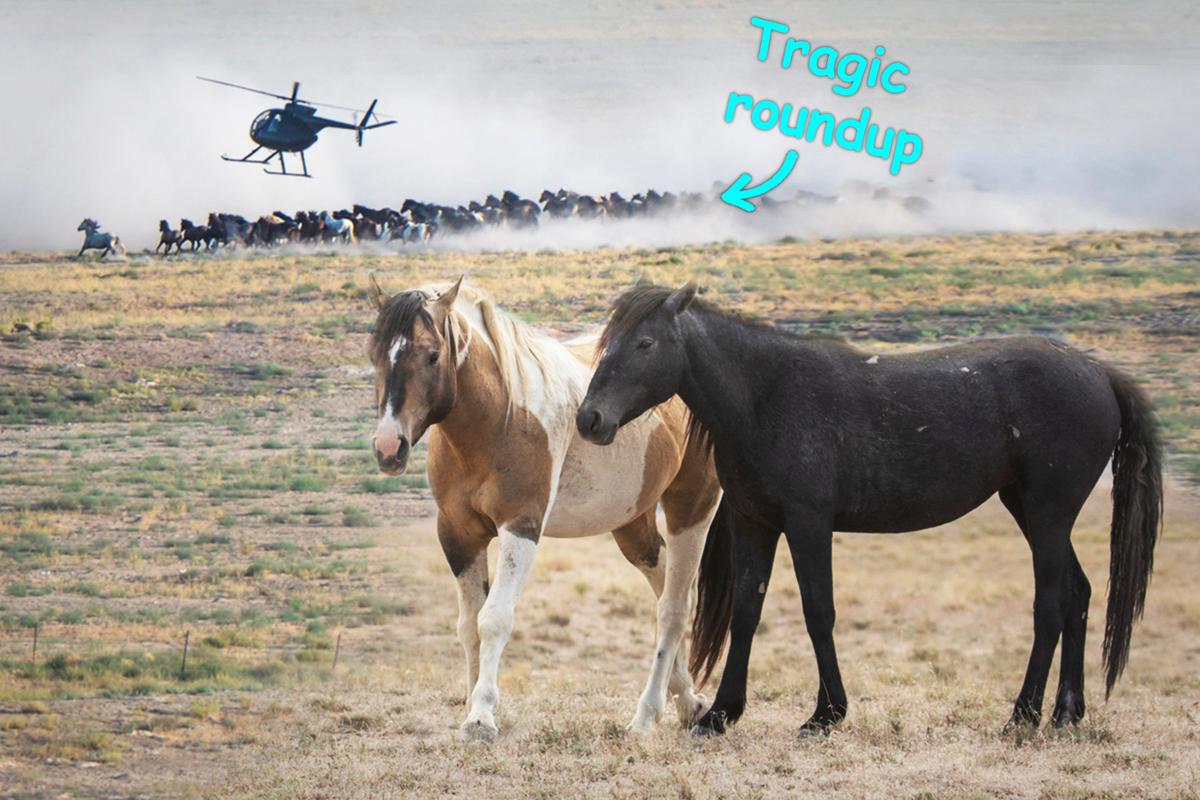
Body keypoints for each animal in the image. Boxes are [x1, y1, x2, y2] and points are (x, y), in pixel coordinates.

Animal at [366, 276, 721, 742]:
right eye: (373, 353)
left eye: (432, 355)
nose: (389, 447)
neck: (500, 415)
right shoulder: (457, 534)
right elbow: (469, 625)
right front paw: (469, 707)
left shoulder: (521, 527)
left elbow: (494, 619)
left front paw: (481, 716)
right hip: (633, 524)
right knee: (665, 588)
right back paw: (687, 701)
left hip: (692, 506)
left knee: (675, 608)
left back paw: (647, 715)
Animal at [577, 283, 1163, 737]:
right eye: (608, 344)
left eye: (645, 342)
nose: (590, 419)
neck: (767, 395)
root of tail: (1099, 373)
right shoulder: (755, 523)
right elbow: (747, 613)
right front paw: (720, 714)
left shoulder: (808, 524)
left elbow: (819, 612)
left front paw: (825, 715)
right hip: (1031, 511)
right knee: (1079, 594)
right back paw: (1066, 713)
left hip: (1046, 516)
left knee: (1051, 605)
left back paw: (1022, 716)